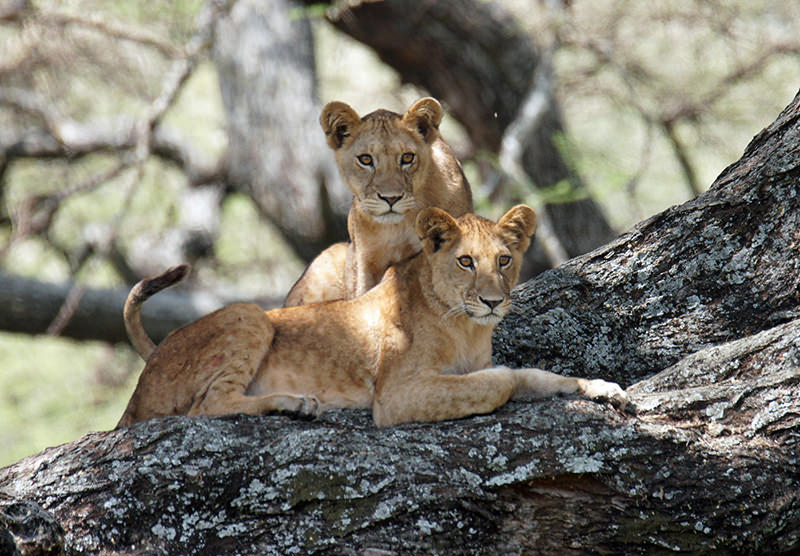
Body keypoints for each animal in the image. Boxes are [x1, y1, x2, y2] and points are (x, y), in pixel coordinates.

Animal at [119, 206, 628, 428]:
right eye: (466, 261)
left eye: (504, 261)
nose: (491, 302)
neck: (465, 326)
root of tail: (140, 385)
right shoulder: (396, 396)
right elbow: (500, 380)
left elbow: (538, 376)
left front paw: (602, 389)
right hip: (251, 316)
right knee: (208, 405)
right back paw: (293, 403)